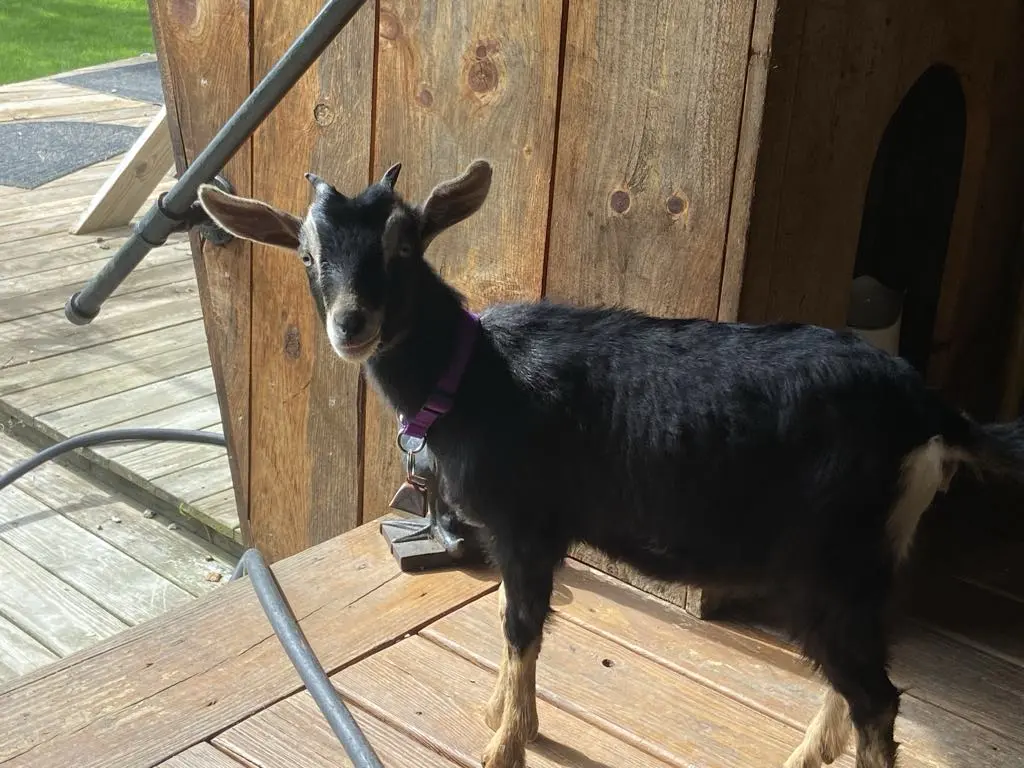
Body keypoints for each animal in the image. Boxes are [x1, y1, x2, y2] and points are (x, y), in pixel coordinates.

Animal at [198, 160, 1024, 768]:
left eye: (405, 244)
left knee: (876, 695)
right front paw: (506, 715)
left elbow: (520, 625)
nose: (352, 324)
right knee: (857, 674)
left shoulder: (528, 524)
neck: (475, 376)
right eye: (307, 254)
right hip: (861, 557)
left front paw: (505, 743)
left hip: (830, 553)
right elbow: (514, 621)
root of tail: (927, 409)